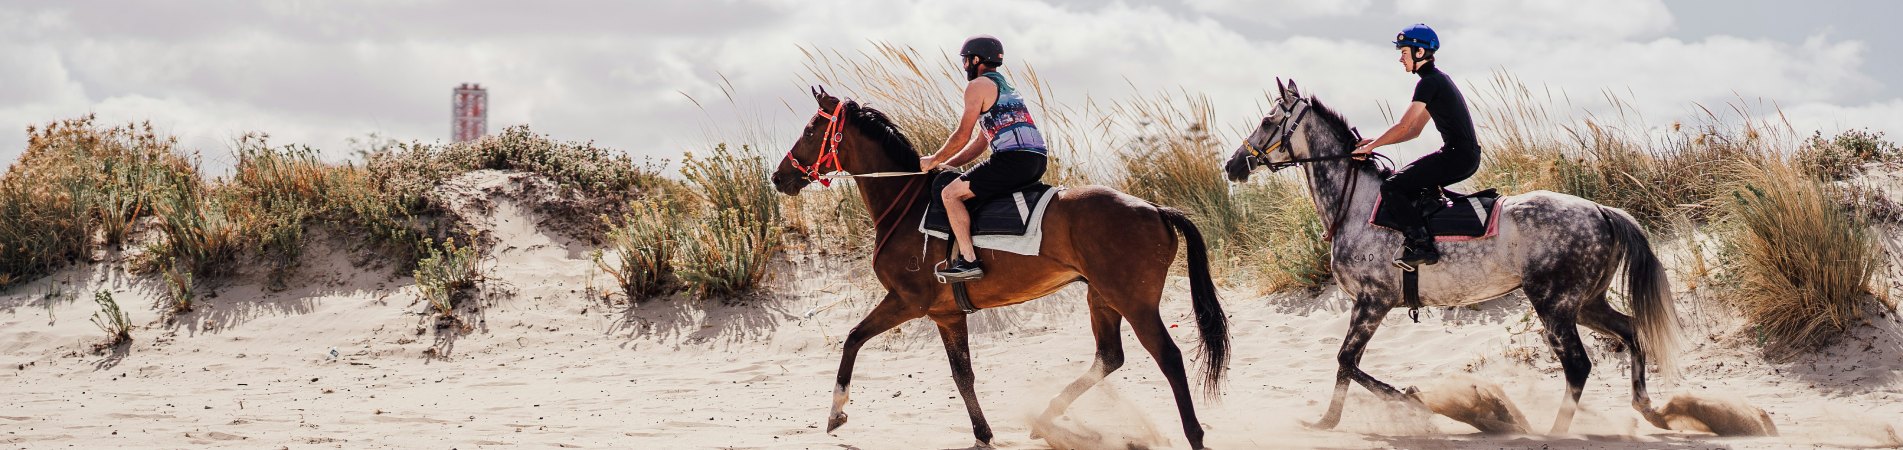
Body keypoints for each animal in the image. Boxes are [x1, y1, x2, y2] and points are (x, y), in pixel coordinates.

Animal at [772, 86, 1233, 448]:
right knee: (1108, 357)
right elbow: (963, 376)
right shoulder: (946, 314)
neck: (905, 204)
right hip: (1101, 296)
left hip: (1133, 301)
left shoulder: (908, 302)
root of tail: (1155, 209)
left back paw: (1194, 436)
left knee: (1168, 357)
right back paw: (1047, 418)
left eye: (810, 130)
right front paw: (983, 434)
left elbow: (853, 339)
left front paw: (836, 411)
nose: (779, 177)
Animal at [1217, 79, 1682, 434]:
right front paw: (1348, 415)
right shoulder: (1368, 305)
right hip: (1585, 303)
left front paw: (1395, 404)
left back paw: (1556, 431)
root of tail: (1601, 210)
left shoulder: (1372, 303)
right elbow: (1348, 365)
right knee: (1631, 330)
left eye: (1268, 121)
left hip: (1555, 305)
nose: (1233, 165)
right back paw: (1647, 409)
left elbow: (1346, 362)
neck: (1357, 204)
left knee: (1578, 366)